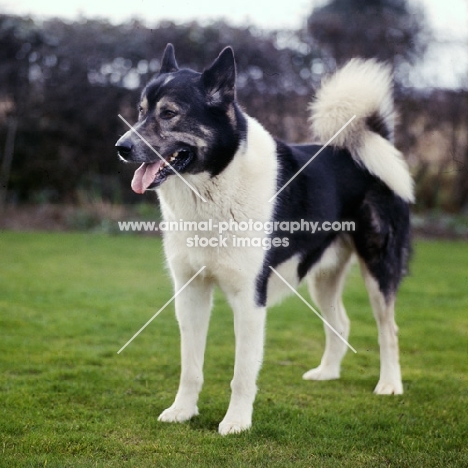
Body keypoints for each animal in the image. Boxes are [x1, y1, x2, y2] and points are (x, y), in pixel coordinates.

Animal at [116, 44, 414, 436]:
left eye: (168, 114)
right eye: (140, 111)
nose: (121, 147)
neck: (213, 186)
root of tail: (368, 143)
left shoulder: (249, 300)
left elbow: (242, 373)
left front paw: (237, 422)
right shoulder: (190, 292)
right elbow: (190, 366)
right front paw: (183, 411)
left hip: (378, 268)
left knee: (389, 329)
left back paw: (390, 384)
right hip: (322, 277)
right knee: (341, 323)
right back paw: (327, 373)